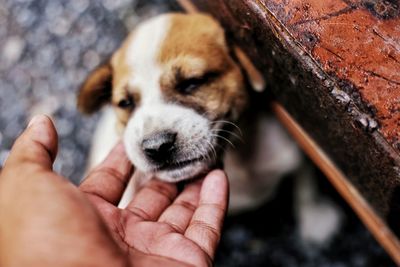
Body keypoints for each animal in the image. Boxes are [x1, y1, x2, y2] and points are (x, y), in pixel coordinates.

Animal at [76, 13, 340, 244]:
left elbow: (306, 189)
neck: (237, 160)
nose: (157, 146)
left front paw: (315, 219)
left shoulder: (293, 154)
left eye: (192, 83)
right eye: (126, 103)